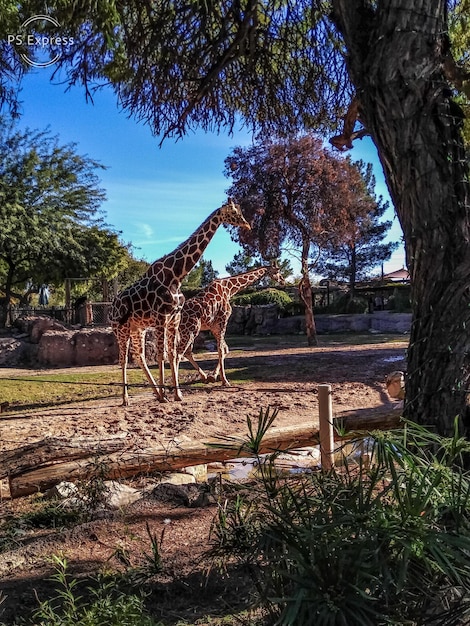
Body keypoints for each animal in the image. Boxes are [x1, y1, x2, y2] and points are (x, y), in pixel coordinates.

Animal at [109, 199, 250, 404]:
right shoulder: (161, 318)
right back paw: (126, 399)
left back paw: (156, 392)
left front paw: (176, 394)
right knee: (123, 360)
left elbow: (172, 353)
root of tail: (110, 308)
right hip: (121, 328)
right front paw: (167, 395)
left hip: (138, 329)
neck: (176, 276)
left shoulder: (173, 319)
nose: (247, 225)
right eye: (234, 211)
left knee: (140, 356)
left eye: (239, 210)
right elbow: (161, 355)